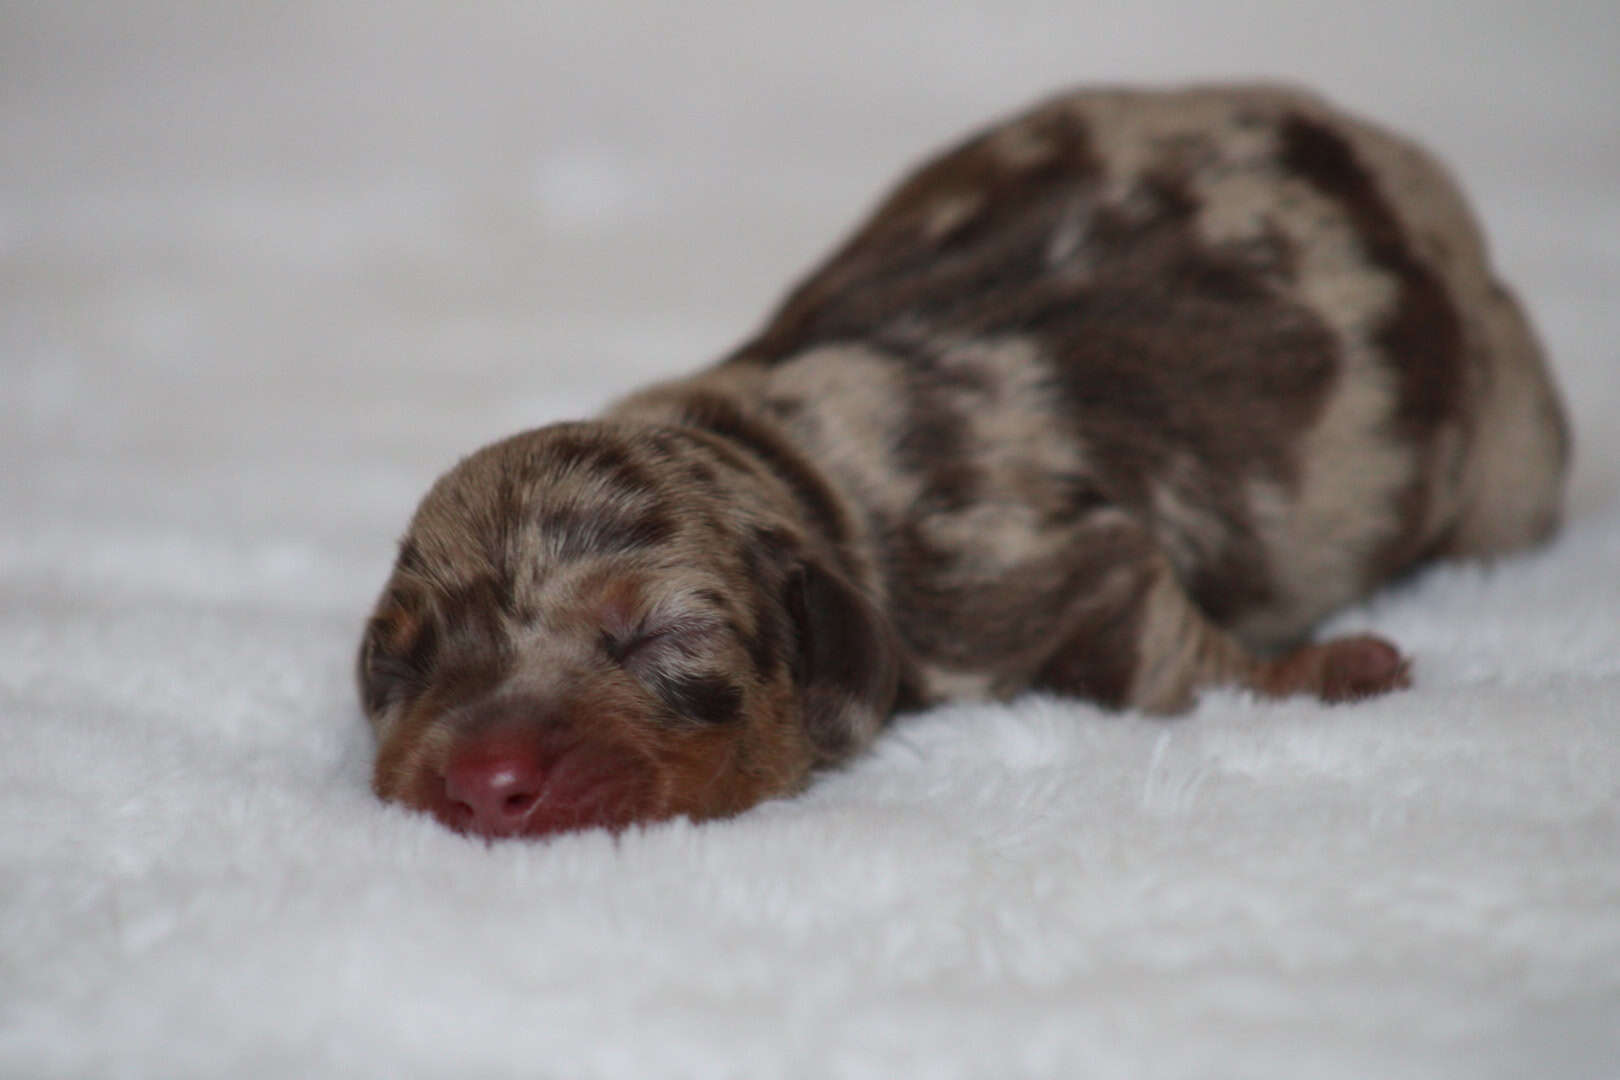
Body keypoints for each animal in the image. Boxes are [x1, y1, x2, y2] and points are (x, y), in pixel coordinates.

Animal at [358, 86, 1568, 841]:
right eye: (402, 659)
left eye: (657, 634)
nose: (484, 787)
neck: (784, 455)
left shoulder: (1017, 571)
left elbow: (1157, 660)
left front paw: (1326, 673)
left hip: (1511, 454)